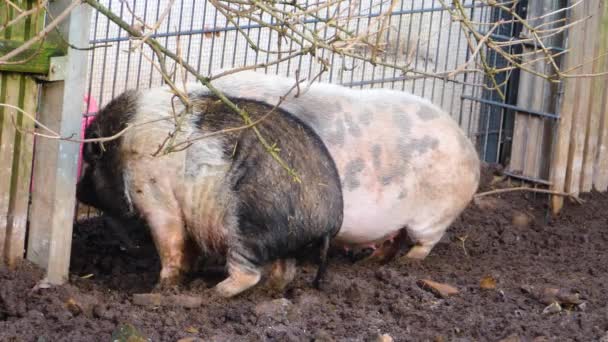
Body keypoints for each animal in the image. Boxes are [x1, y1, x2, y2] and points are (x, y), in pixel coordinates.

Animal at [76, 88, 342, 296]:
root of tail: (329, 218)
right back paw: (266, 291)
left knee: (248, 272)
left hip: (249, 225)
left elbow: (169, 238)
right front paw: (187, 273)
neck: (121, 148)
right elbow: (188, 245)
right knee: (284, 271)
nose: (77, 191)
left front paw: (161, 288)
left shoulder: (153, 192)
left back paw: (214, 291)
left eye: (89, 163)